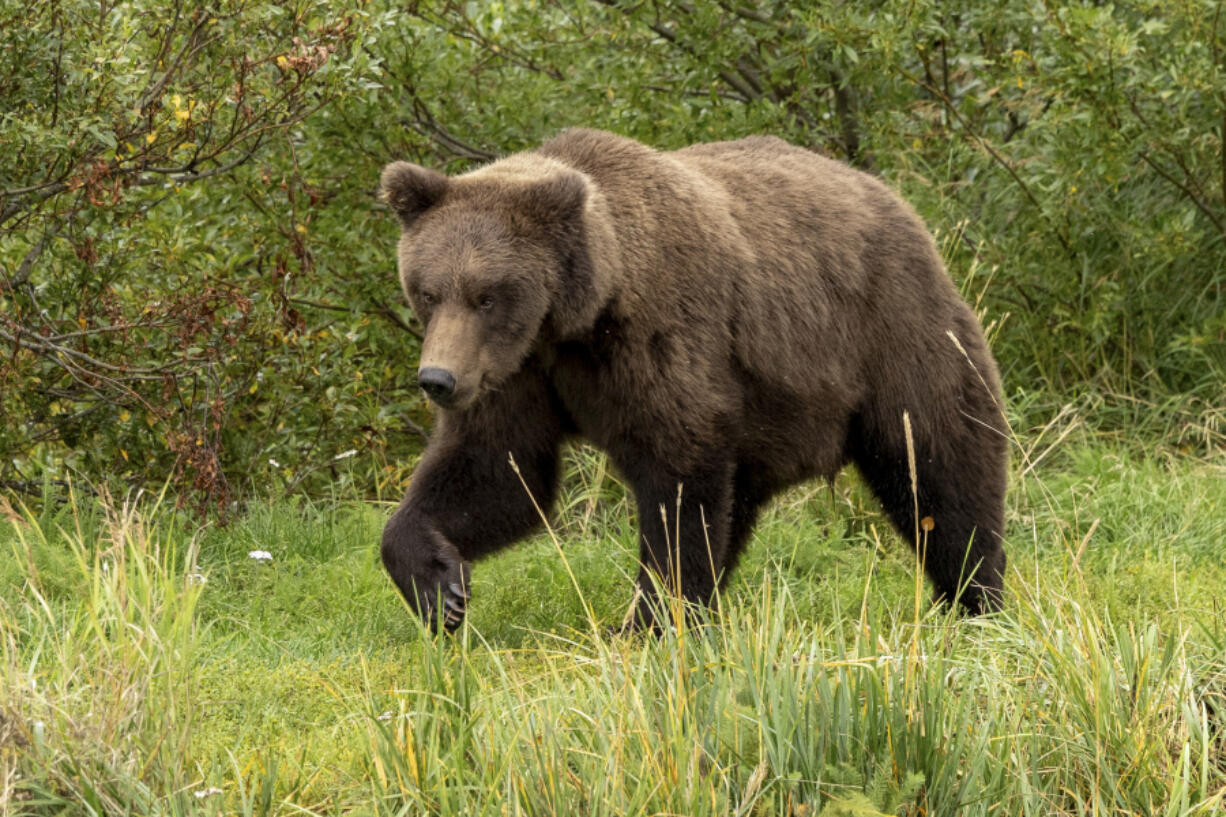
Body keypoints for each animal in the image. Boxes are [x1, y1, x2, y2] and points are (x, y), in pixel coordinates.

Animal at [375, 127, 1005, 625]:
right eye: (427, 291)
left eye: (487, 295)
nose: (438, 379)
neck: (579, 319)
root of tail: (895, 201)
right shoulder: (518, 371)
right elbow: (497, 469)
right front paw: (440, 589)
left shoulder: (659, 338)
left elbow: (677, 478)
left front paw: (652, 619)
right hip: (768, 416)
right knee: (741, 503)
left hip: (892, 335)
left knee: (940, 467)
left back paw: (976, 598)